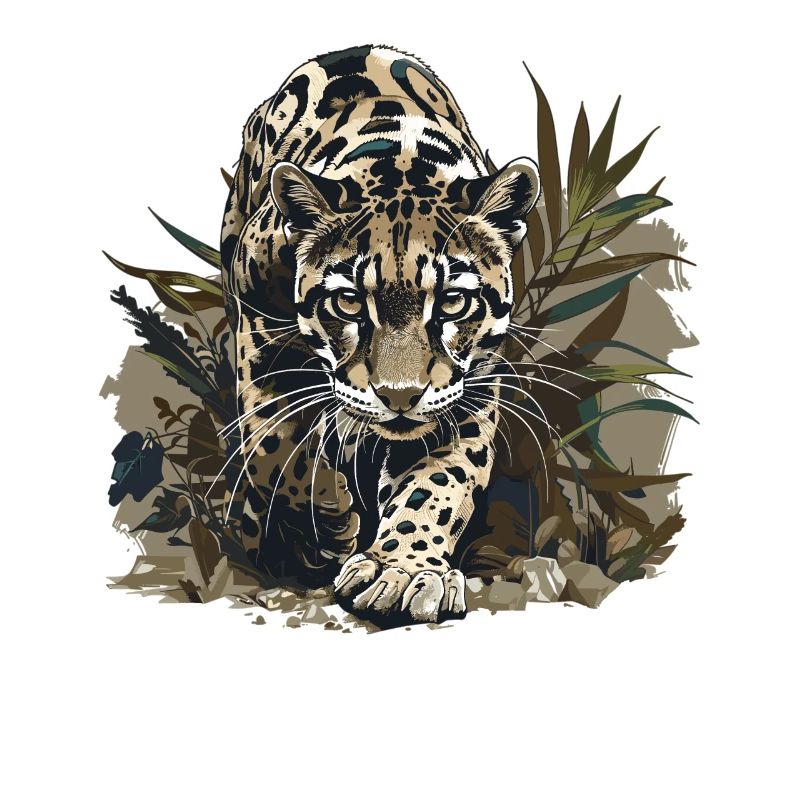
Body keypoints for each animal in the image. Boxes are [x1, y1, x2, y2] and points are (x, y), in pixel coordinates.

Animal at [220, 44, 539, 626]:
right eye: (348, 301)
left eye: (453, 302)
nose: (399, 397)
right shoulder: (256, 322)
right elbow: (275, 444)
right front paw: (330, 520)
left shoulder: (470, 384)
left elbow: (439, 480)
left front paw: (403, 571)